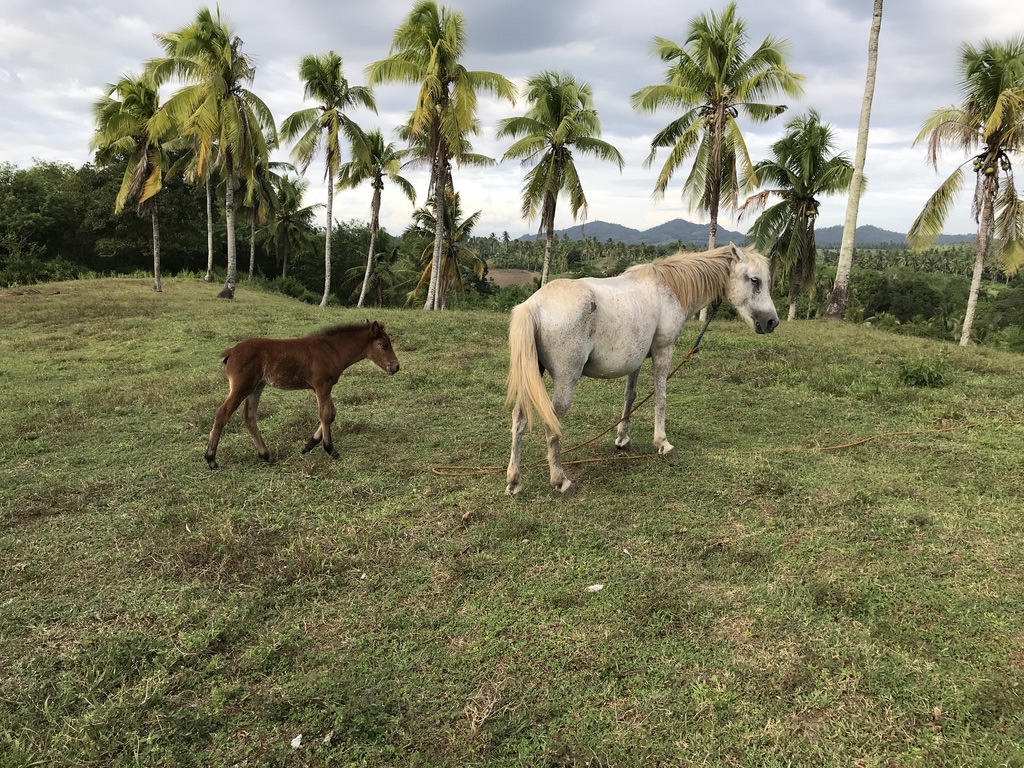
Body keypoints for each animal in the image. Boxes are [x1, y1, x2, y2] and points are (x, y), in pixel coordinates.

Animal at [204, 321, 400, 469]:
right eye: (384, 345)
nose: (396, 367)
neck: (332, 350)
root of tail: (232, 351)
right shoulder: (322, 385)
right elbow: (325, 414)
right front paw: (330, 449)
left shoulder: (324, 386)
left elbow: (332, 414)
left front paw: (309, 445)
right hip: (241, 387)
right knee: (222, 413)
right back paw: (211, 459)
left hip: (256, 386)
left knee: (249, 417)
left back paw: (266, 455)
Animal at [505, 243, 779, 495]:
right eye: (755, 280)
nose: (771, 322)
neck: (670, 288)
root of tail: (534, 304)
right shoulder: (663, 351)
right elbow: (660, 396)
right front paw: (663, 444)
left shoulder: (634, 360)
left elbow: (630, 396)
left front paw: (622, 439)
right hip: (565, 380)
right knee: (552, 425)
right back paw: (560, 480)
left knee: (519, 420)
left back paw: (514, 481)